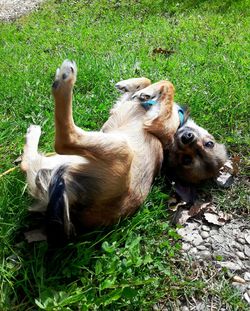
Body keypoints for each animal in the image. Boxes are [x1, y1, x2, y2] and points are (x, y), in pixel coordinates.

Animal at [19, 59, 180, 244]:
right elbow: (152, 81)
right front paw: (134, 87)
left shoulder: (161, 126)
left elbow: (169, 84)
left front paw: (144, 91)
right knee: (28, 163)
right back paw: (33, 132)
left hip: (120, 150)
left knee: (65, 139)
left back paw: (64, 80)